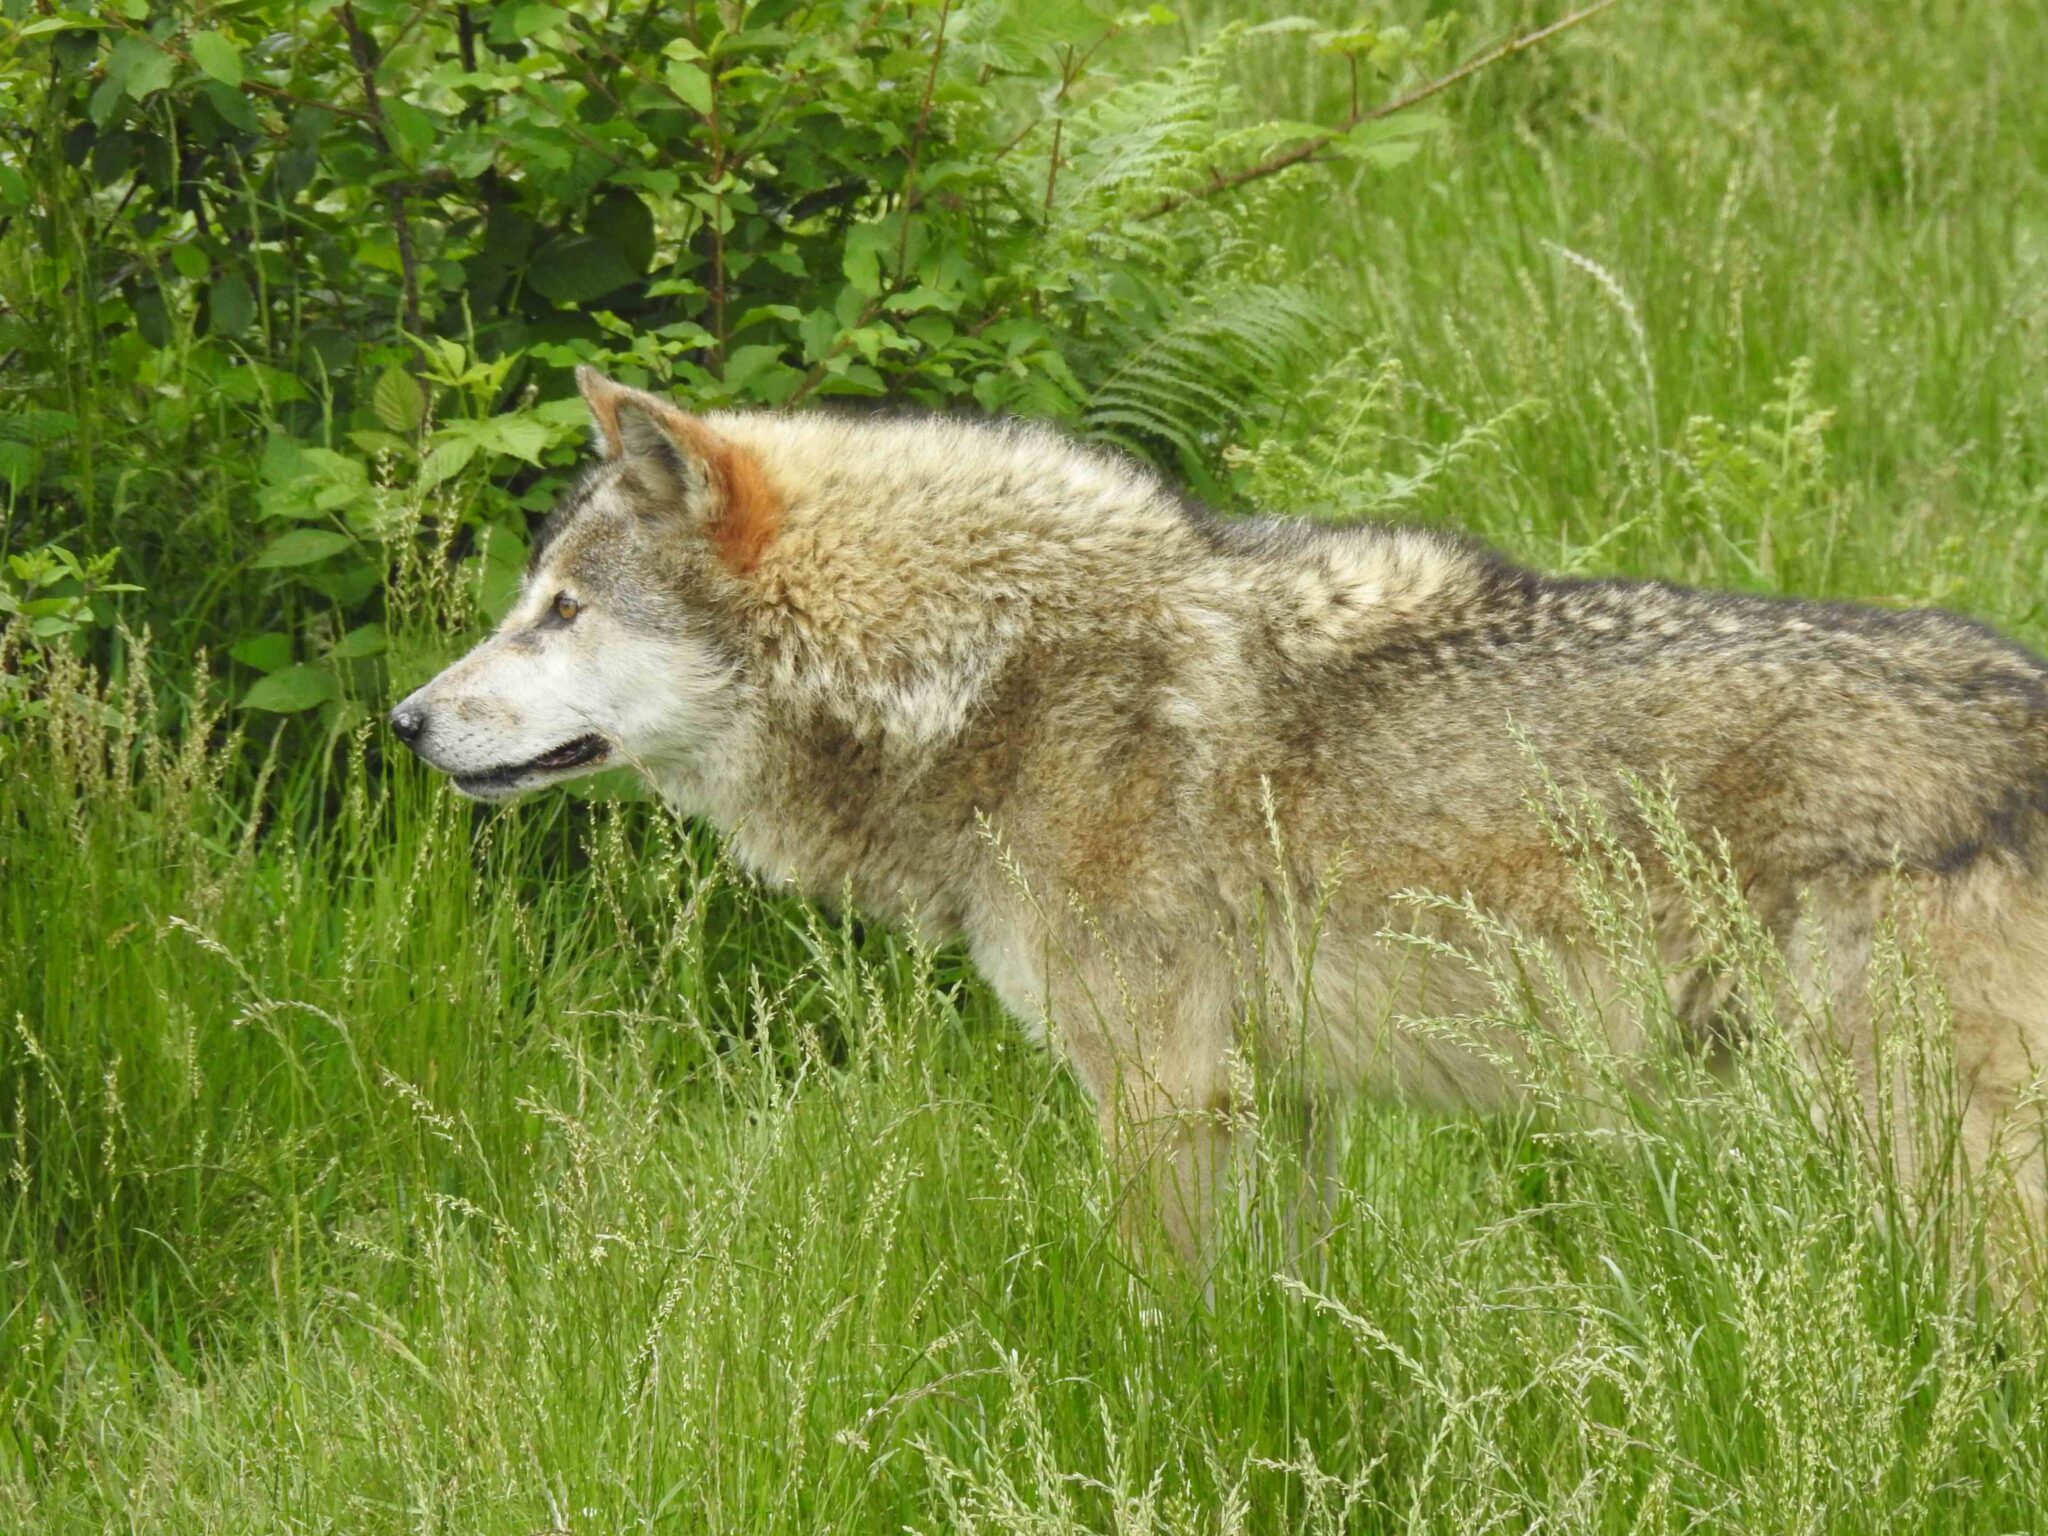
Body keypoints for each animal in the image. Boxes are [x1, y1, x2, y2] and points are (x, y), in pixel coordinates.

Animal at [385, 372, 2048, 1277]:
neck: (996, 674)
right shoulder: (1283, 1099)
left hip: (1934, 1152)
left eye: (562, 611)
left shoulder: (1159, 1092)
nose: (403, 721)